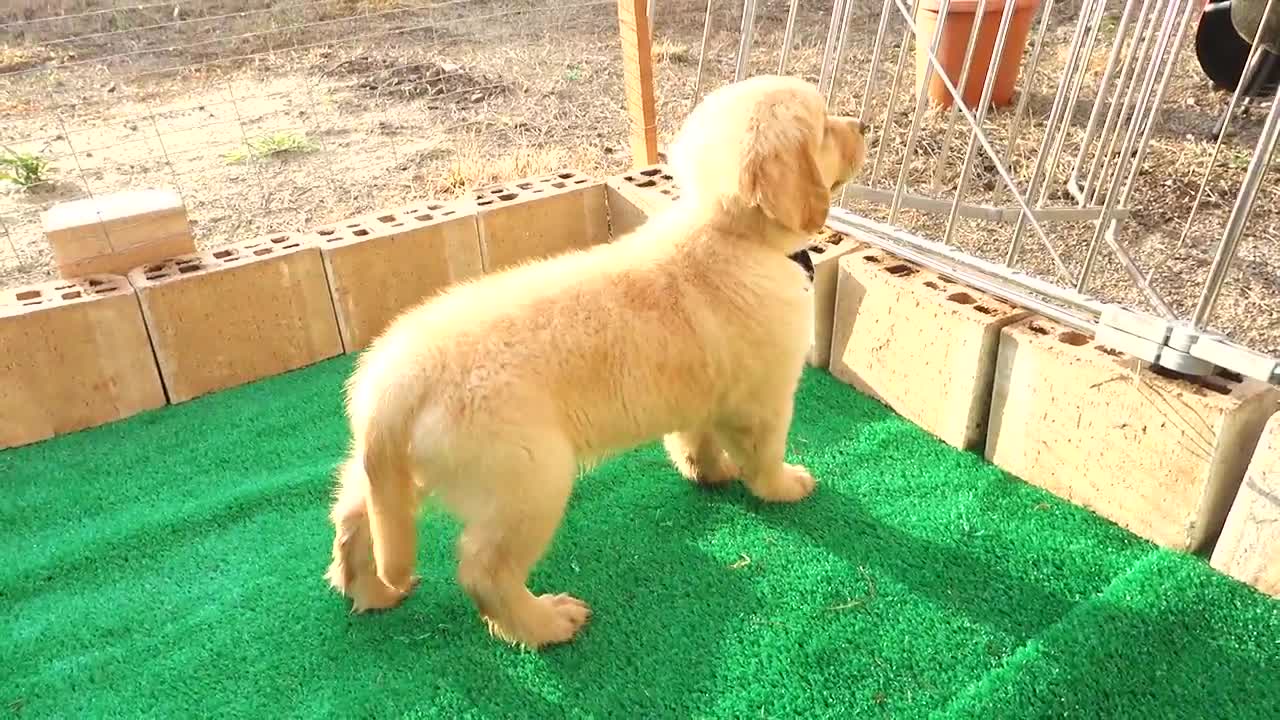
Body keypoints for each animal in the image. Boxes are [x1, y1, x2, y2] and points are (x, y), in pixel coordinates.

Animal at [322, 75, 870, 648]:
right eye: (823, 127)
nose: (864, 126)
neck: (728, 234)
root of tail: (393, 387)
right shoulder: (762, 399)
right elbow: (763, 456)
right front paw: (784, 487)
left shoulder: (702, 390)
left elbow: (693, 437)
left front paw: (709, 472)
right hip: (529, 481)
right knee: (483, 571)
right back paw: (546, 623)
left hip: (392, 475)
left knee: (352, 515)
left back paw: (373, 592)